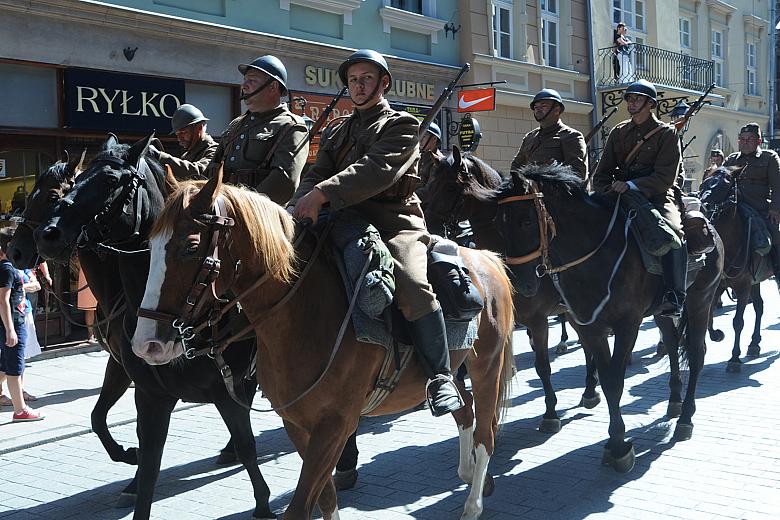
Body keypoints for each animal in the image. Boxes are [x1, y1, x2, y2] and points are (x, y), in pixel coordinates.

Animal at [32, 135, 274, 520]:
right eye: (77, 181)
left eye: (111, 180)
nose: (47, 236)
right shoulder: (146, 388)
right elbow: (138, 452)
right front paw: (132, 472)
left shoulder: (228, 388)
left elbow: (250, 445)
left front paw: (264, 503)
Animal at [131, 169, 516, 516]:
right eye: (150, 245)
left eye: (190, 247)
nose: (146, 344)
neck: (304, 312)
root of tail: (485, 257)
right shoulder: (297, 425)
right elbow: (326, 499)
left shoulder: (334, 425)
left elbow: (301, 507)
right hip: (455, 367)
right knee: (464, 408)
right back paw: (470, 472)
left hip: (486, 366)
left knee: (486, 433)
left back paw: (472, 504)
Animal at [424, 147, 600, 434]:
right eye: (429, 181)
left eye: (449, 186)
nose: (426, 224)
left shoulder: (538, 321)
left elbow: (542, 367)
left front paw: (550, 413)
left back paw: (589, 389)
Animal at [494, 165, 724, 474]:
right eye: (499, 224)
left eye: (526, 220)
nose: (519, 284)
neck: (596, 255)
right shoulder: (591, 326)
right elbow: (605, 378)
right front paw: (613, 438)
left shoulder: (627, 325)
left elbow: (615, 381)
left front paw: (618, 447)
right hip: (663, 312)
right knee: (673, 345)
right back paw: (674, 401)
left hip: (701, 300)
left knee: (697, 354)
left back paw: (685, 418)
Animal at [696, 167, 772, 370]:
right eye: (704, 183)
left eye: (725, 185)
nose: (703, 206)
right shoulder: (717, 286)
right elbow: (708, 316)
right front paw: (715, 335)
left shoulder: (743, 286)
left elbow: (738, 321)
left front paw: (734, 358)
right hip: (756, 282)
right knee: (759, 306)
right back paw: (754, 343)